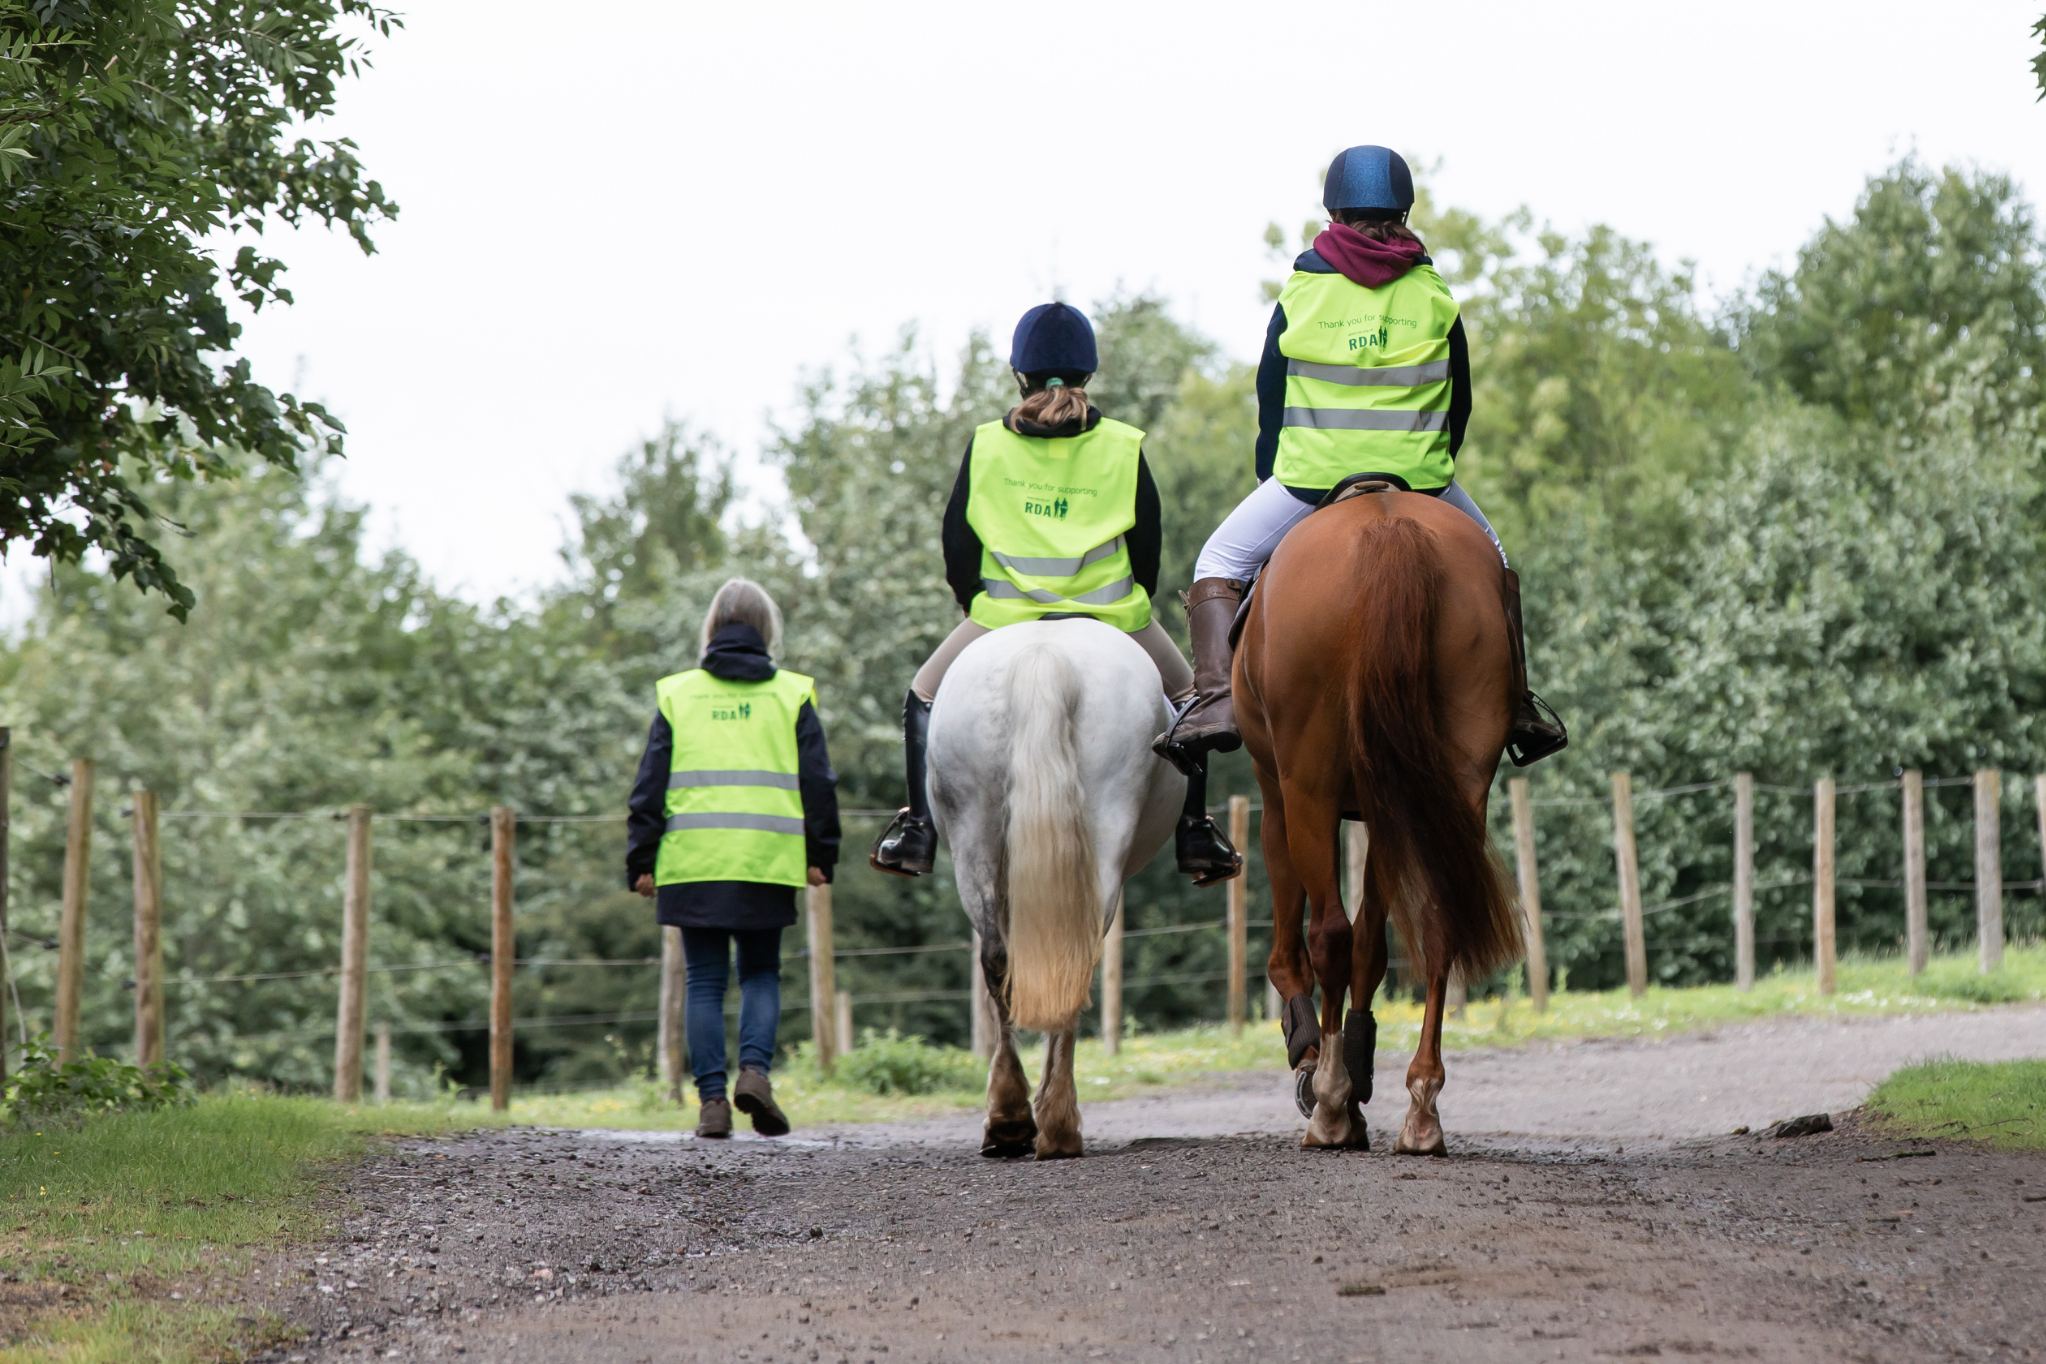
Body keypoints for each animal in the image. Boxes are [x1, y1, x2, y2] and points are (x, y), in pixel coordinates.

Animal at [928, 617, 1186, 1161]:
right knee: (1063, 960)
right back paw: (1052, 1123)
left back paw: (1015, 1120)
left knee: (1006, 959)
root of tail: (1044, 652)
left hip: (974, 837)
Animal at [1227, 488, 1522, 1153]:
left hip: (1307, 783)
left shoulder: (1276, 791)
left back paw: (1331, 1103)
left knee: (1330, 933)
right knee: (1437, 924)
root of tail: (1390, 528)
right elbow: (1373, 943)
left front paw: (1314, 1061)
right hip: (1453, 780)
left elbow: (1301, 939)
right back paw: (1421, 1108)